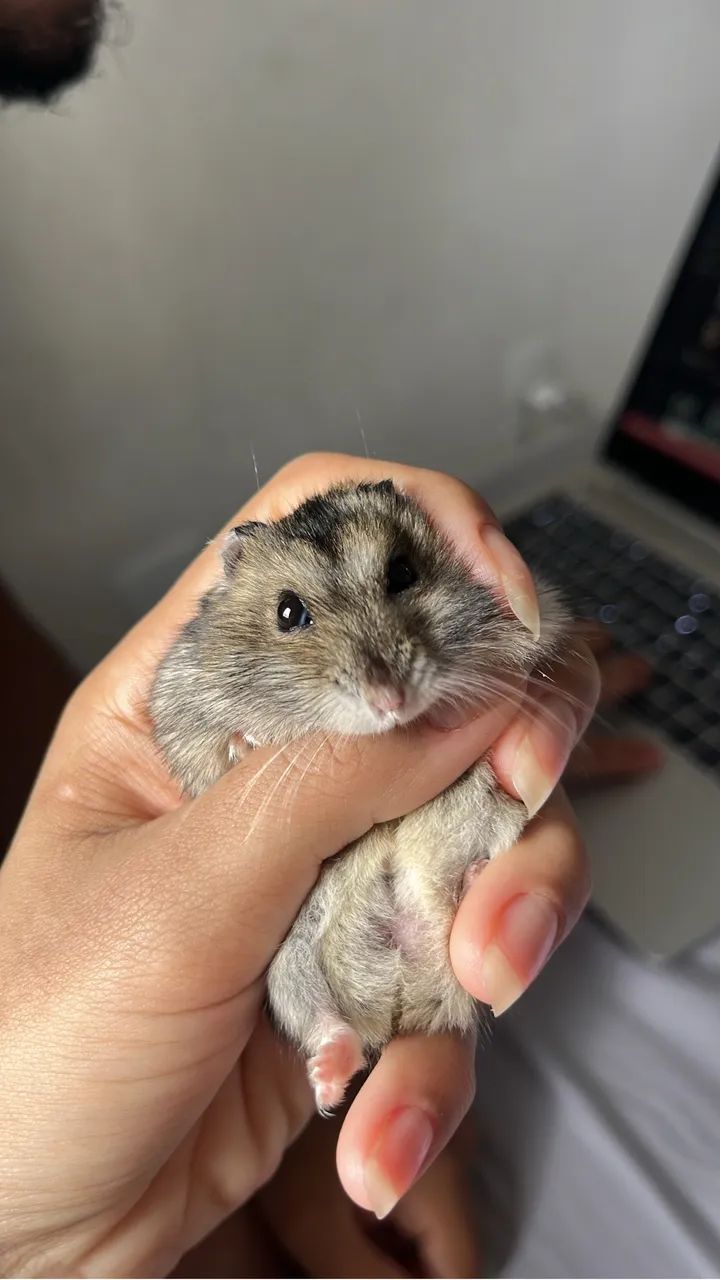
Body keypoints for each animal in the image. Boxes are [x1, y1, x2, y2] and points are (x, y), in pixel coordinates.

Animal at [151, 481, 569, 1111]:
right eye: (288, 612)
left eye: (403, 573)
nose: (392, 701)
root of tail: (402, 1004)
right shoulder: (183, 719)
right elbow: (218, 755)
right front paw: (251, 745)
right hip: (290, 966)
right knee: (323, 1019)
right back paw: (330, 1076)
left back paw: (473, 884)